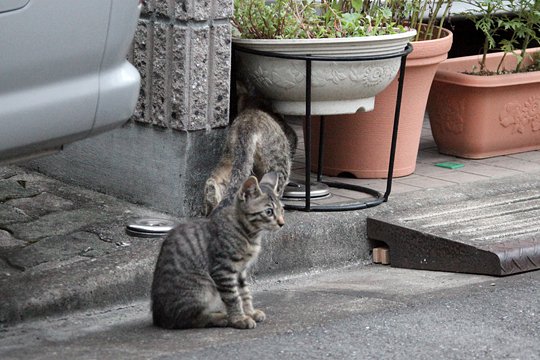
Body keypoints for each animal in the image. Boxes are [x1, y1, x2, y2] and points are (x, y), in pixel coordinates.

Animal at [149, 173, 282, 330]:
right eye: (269, 212)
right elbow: (233, 297)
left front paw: (250, 312)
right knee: (188, 319)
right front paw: (239, 319)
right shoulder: (223, 270)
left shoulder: (240, 271)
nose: (282, 223)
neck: (249, 234)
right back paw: (221, 318)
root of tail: (158, 317)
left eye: (282, 210)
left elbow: (244, 292)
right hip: (202, 286)